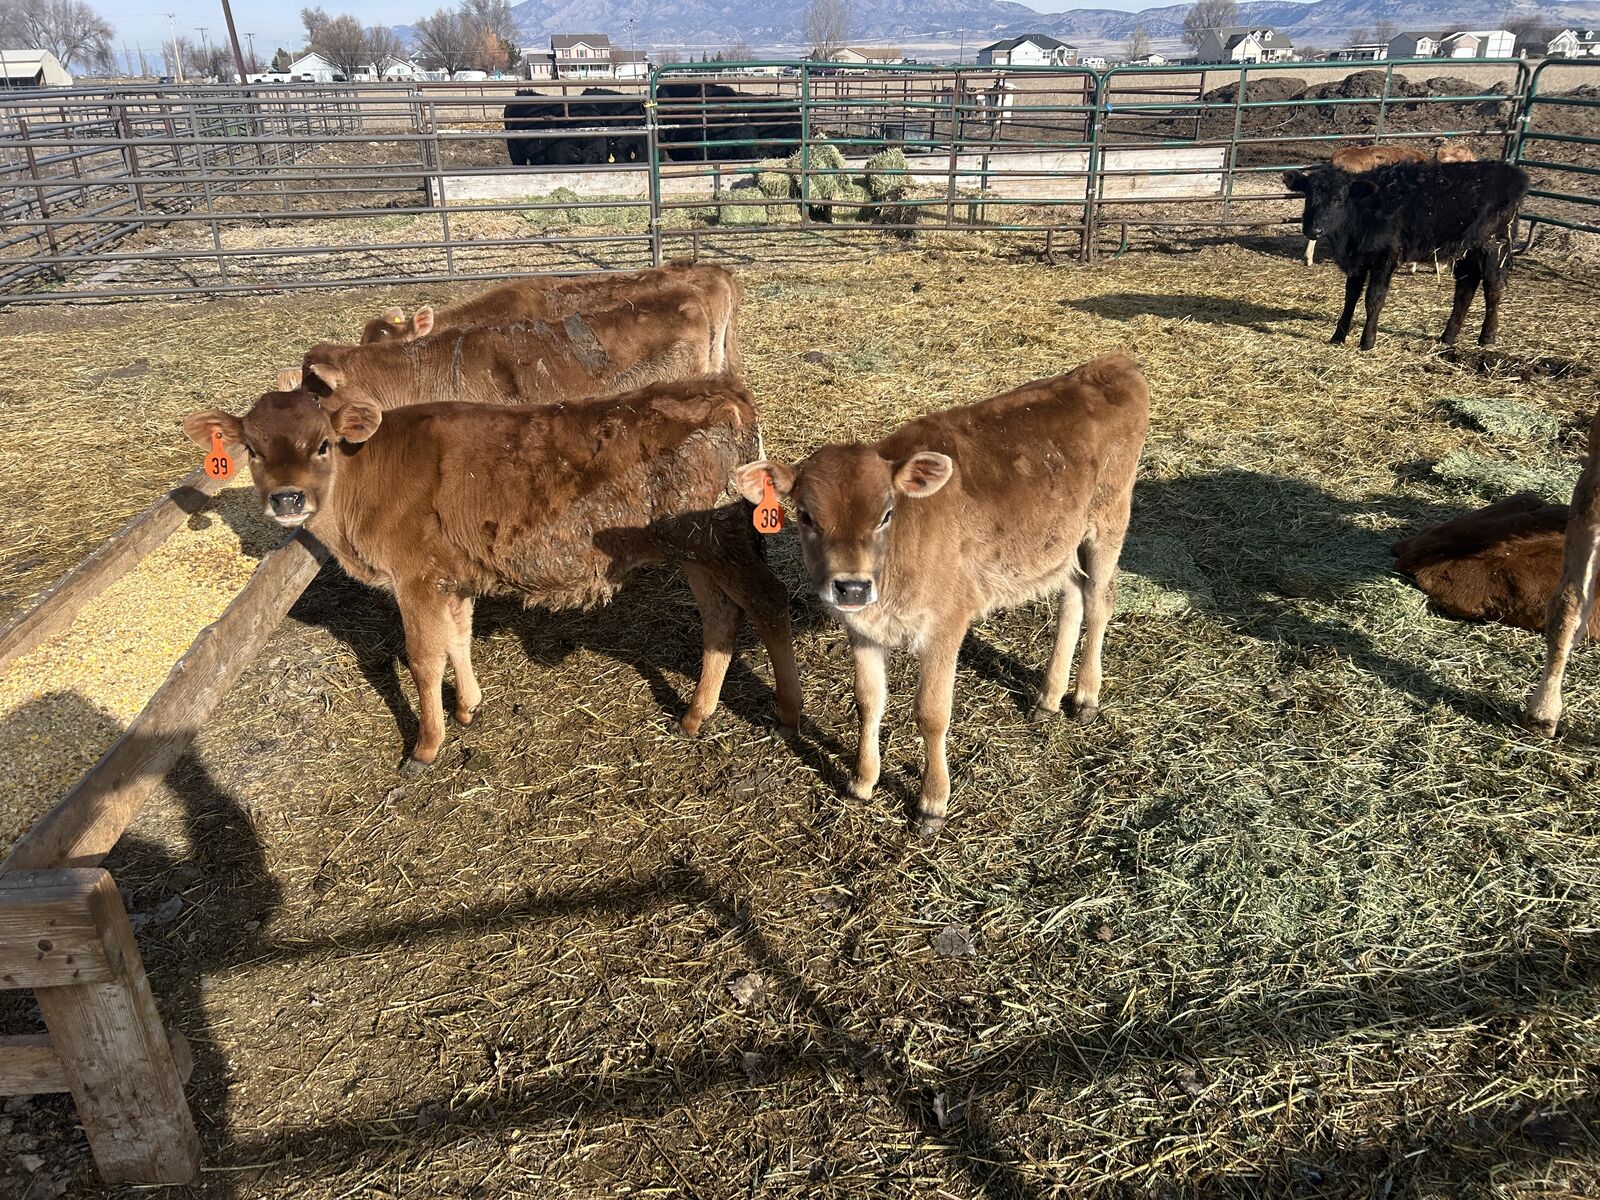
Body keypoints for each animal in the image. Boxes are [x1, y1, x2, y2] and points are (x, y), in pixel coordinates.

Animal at [181, 378, 802, 771]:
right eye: (252, 449)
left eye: (322, 445)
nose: (287, 499)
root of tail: (723, 390)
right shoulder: (451, 577)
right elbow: (458, 636)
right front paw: (468, 706)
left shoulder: (415, 579)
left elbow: (422, 658)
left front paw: (426, 747)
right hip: (696, 550)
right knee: (720, 617)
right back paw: (696, 715)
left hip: (717, 540)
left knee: (769, 602)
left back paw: (789, 711)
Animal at [734, 353, 1149, 834]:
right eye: (804, 515)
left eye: (886, 514)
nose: (852, 585)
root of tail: (1115, 364)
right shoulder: (863, 629)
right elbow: (867, 701)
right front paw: (862, 782)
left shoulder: (947, 622)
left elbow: (931, 714)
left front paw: (932, 803)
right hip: (1057, 545)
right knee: (1074, 596)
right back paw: (1048, 697)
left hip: (1108, 522)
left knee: (1100, 601)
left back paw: (1084, 698)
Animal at [1283, 159, 1528, 350]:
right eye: (1308, 196)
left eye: (1339, 198)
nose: (1314, 230)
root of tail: (1512, 172)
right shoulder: (1358, 260)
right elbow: (1350, 296)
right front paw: (1338, 336)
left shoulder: (1385, 256)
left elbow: (1374, 297)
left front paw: (1367, 341)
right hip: (1466, 250)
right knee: (1466, 288)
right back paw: (1447, 337)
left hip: (1494, 245)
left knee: (1492, 288)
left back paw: (1487, 337)